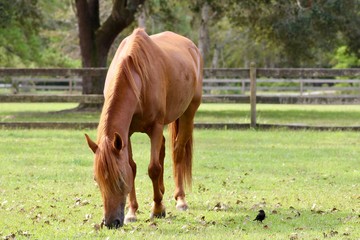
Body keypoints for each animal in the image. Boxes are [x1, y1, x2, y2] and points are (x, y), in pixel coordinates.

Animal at [85, 28, 202, 229]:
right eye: (97, 180)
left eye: (119, 179)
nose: (110, 223)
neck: (137, 76)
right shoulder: (126, 134)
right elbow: (132, 167)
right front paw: (132, 212)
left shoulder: (155, 127)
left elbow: (153, 168)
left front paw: (158, 209)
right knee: (163, 149)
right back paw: (162, 191)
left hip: (189, 113)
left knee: (177, 152)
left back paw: (180, 200)